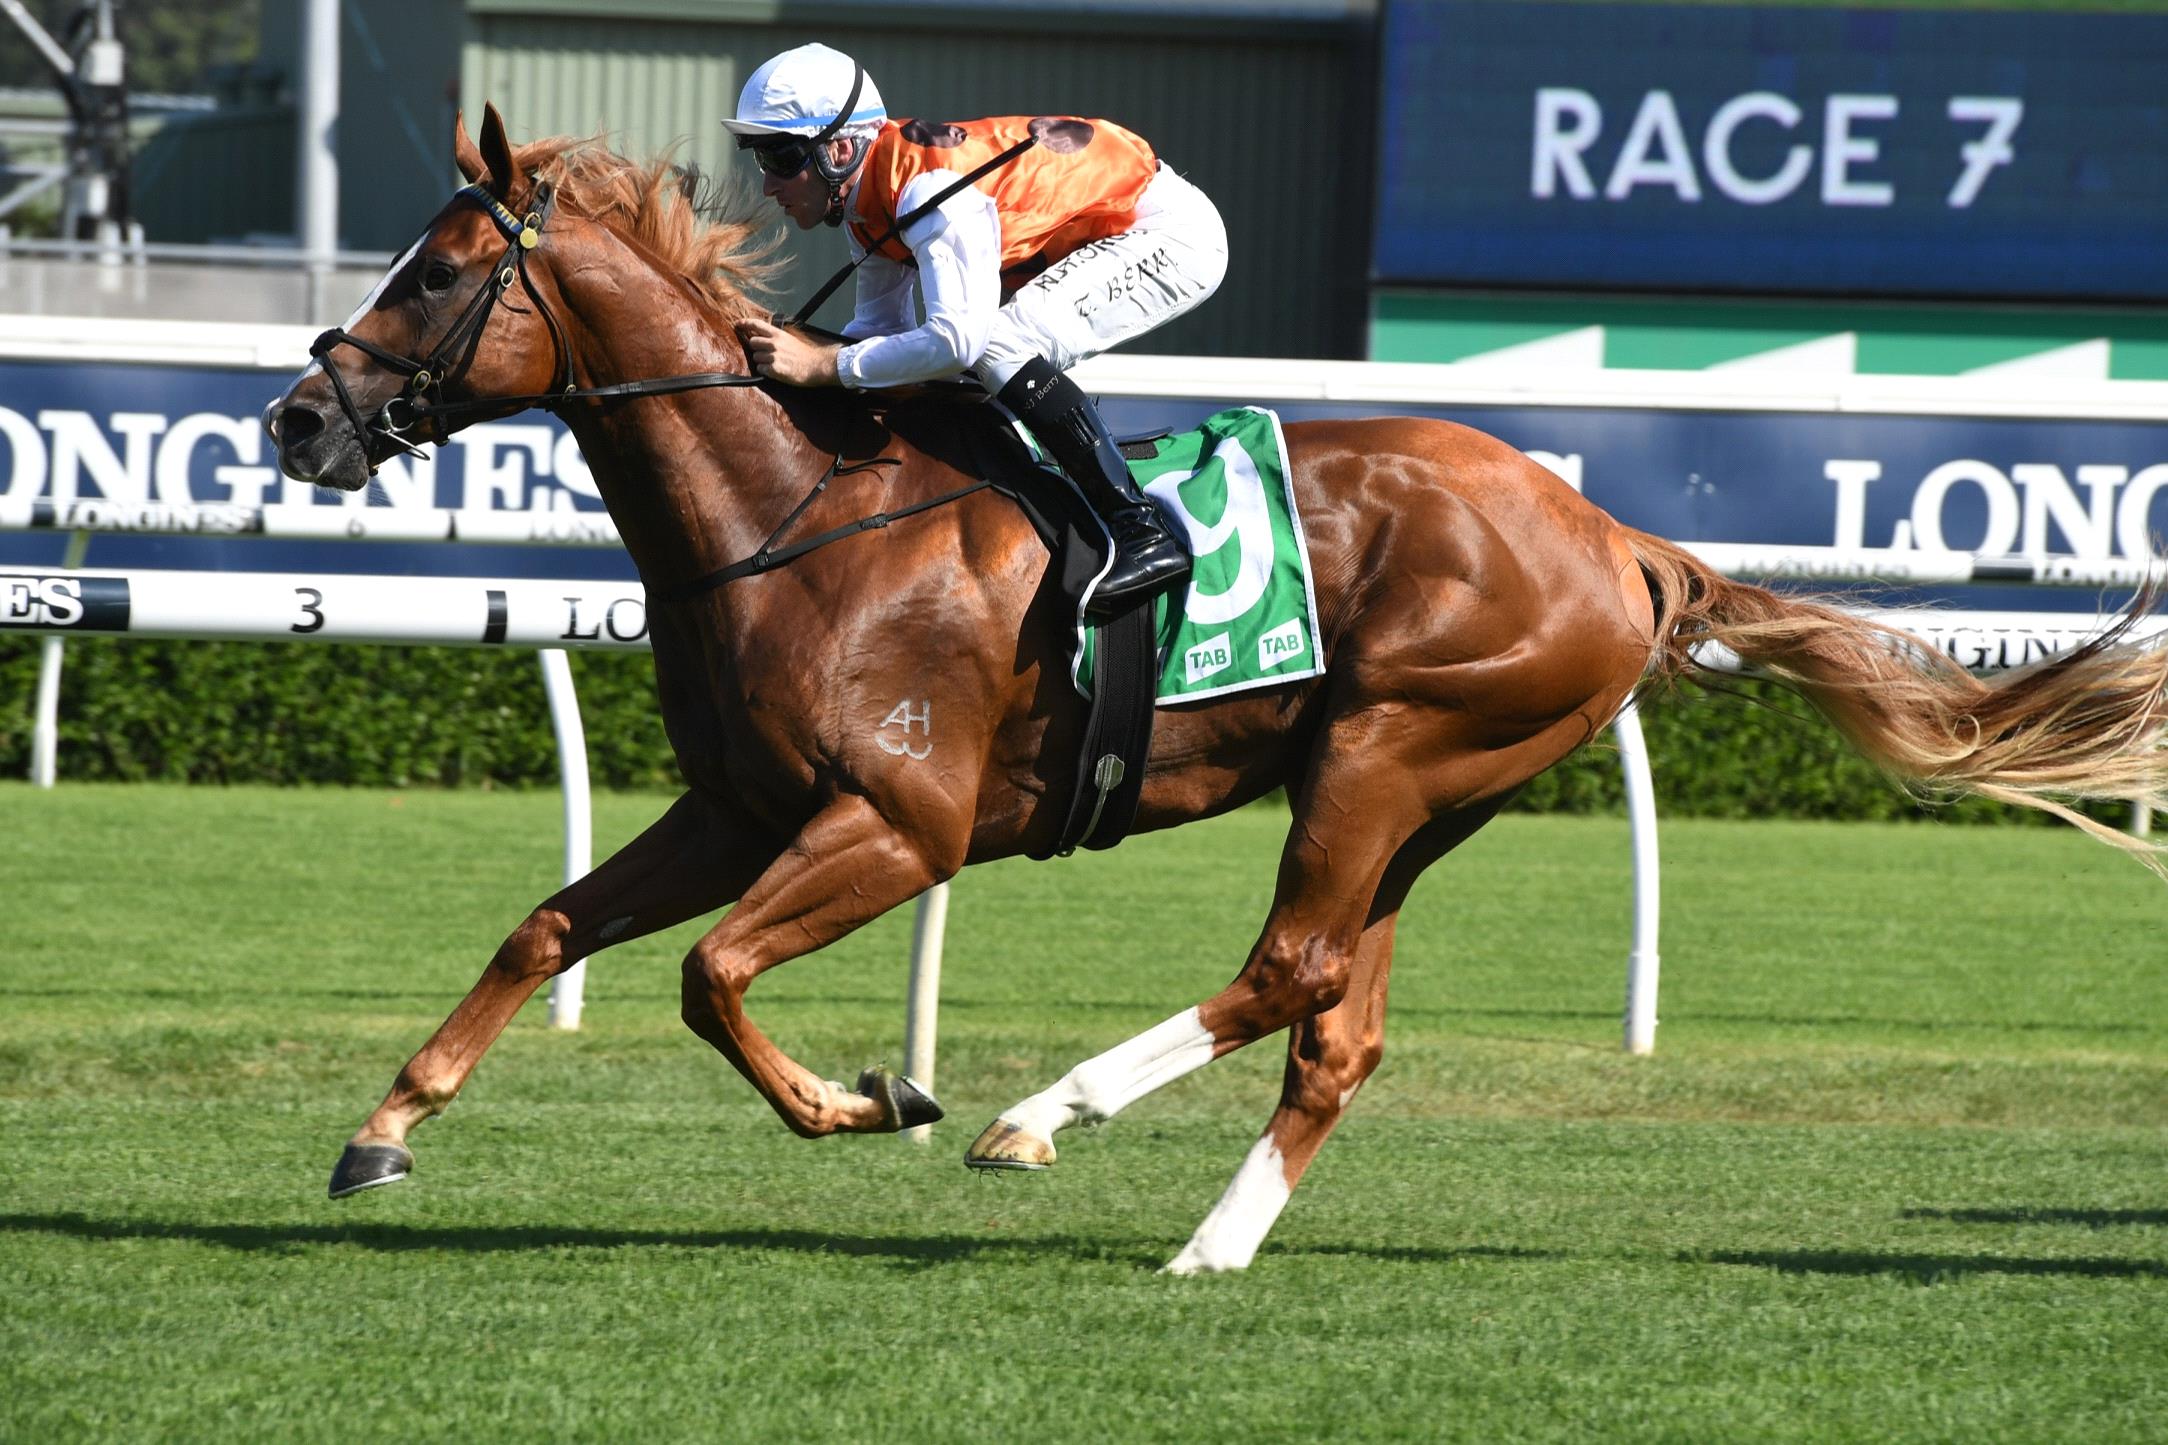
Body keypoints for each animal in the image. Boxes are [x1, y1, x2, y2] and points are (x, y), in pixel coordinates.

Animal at [266, 108, 2168, 1273]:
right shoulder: (740, 806)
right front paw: (380, 1132)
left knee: (1285, 971)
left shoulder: (897, 823)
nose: (295, 420)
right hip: (1420, 794)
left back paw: (1038, 1117)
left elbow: (709, 977)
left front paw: (870, 1098)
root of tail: (1616, 535)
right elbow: (548, 926)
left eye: (439, 272)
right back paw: (1211, 1240)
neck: (800, 514)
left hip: (1393, 748)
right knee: (1338, 1020)